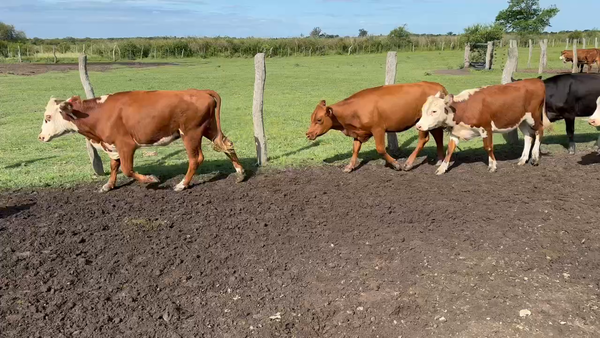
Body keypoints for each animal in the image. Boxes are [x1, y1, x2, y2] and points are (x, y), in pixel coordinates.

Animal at [38, 90, 245, 193]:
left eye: (48, 117)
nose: (40, 137)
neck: (99, 113)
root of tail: (201, 91)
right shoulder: (112, 146)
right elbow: (114, 166)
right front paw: (109, 185)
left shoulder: (126, 145)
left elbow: (127, 169)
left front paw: (151, 179)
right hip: (209, 128)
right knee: (227, 145)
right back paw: (240, 172)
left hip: (191, 133)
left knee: (196, 159)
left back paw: (182, 184)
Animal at [308, 81, 448, 172]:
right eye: (311, 118)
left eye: (319, 119)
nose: (308, 134)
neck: (354, 110)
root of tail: (438, 86)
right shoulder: (358, 132)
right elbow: (355, 149)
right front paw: (350, 166)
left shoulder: (378, 129)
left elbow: (380, 149)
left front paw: (395, 164)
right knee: (438, 137)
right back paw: (440, 159)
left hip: (422, 123)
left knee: (423, 140)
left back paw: (408, 163)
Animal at [414, 78, 552, 176]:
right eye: (423, 110)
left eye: (434, 111)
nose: (418, 126)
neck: (464, 108)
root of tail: (536, 80)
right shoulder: (455, 132)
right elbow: (449, 150)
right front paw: (442, 168)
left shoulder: (486, 128)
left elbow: (488, 147)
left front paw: (493, 165)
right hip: (521, 120)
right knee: (528, 136)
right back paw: (523, 159)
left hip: (534, 117)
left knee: (539, 131)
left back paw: (535, 157)